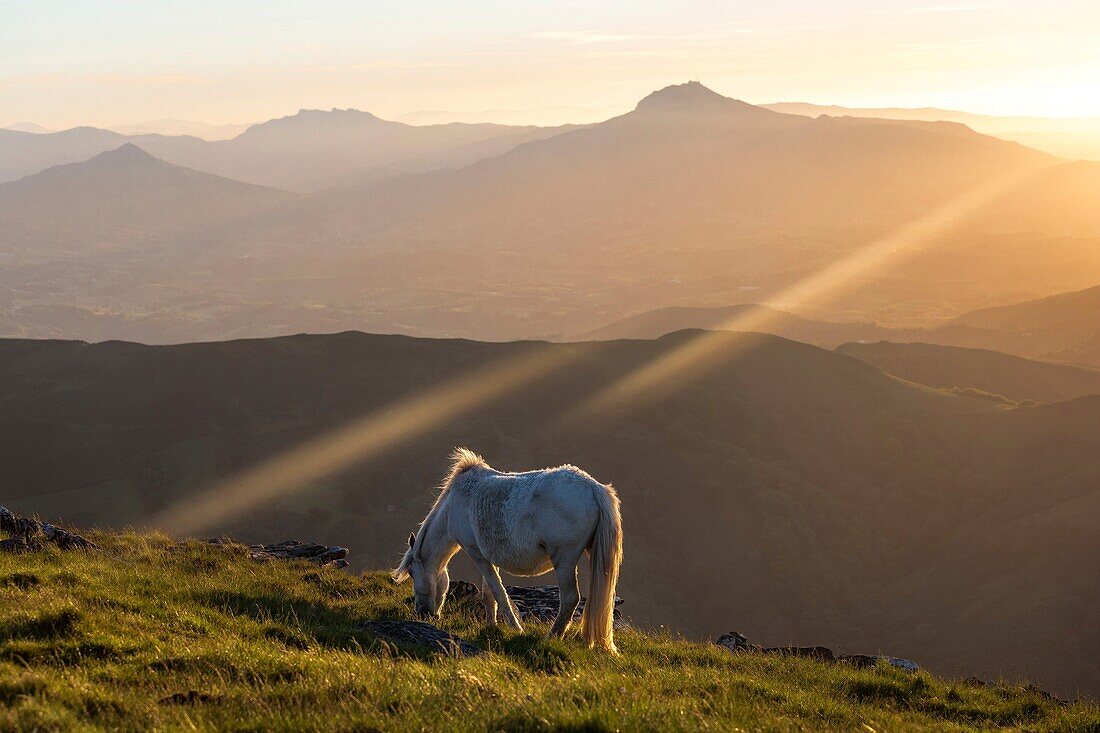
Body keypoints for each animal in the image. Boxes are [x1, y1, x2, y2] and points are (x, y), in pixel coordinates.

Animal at [396, 449, 624, 647]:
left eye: (412, 573)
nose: (422, 613)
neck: (454, 505)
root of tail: (593, 487)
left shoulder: (476, 553)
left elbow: (498, 592)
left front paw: (515, 628)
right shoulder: (488, 558)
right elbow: (489, 593)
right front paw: (491, 625)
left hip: (564, 560)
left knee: (570, 598)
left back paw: (551, 636)